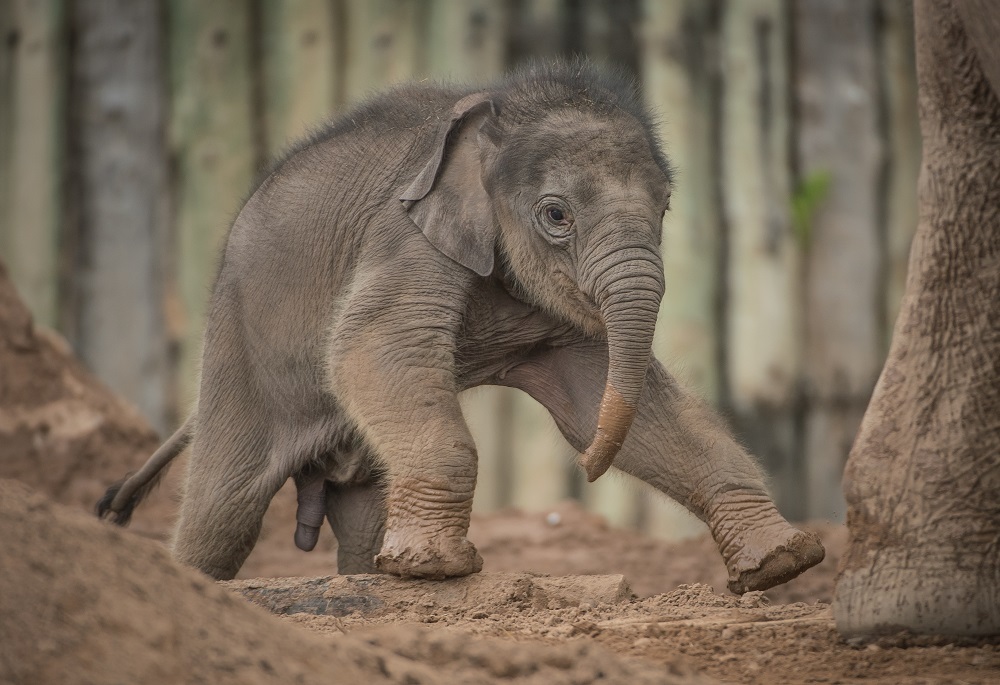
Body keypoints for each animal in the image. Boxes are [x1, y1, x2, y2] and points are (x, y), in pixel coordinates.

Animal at [97, 61, 824, 592]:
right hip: (238, 340)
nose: (586, 471)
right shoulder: (405, 234)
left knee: (357, 512)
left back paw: (374, 579)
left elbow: (601, 397)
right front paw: (437, 570)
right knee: (222, 513)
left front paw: (782, 563)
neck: (491, 117)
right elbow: (369, 346)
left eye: (666, 206)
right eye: (556, 214)